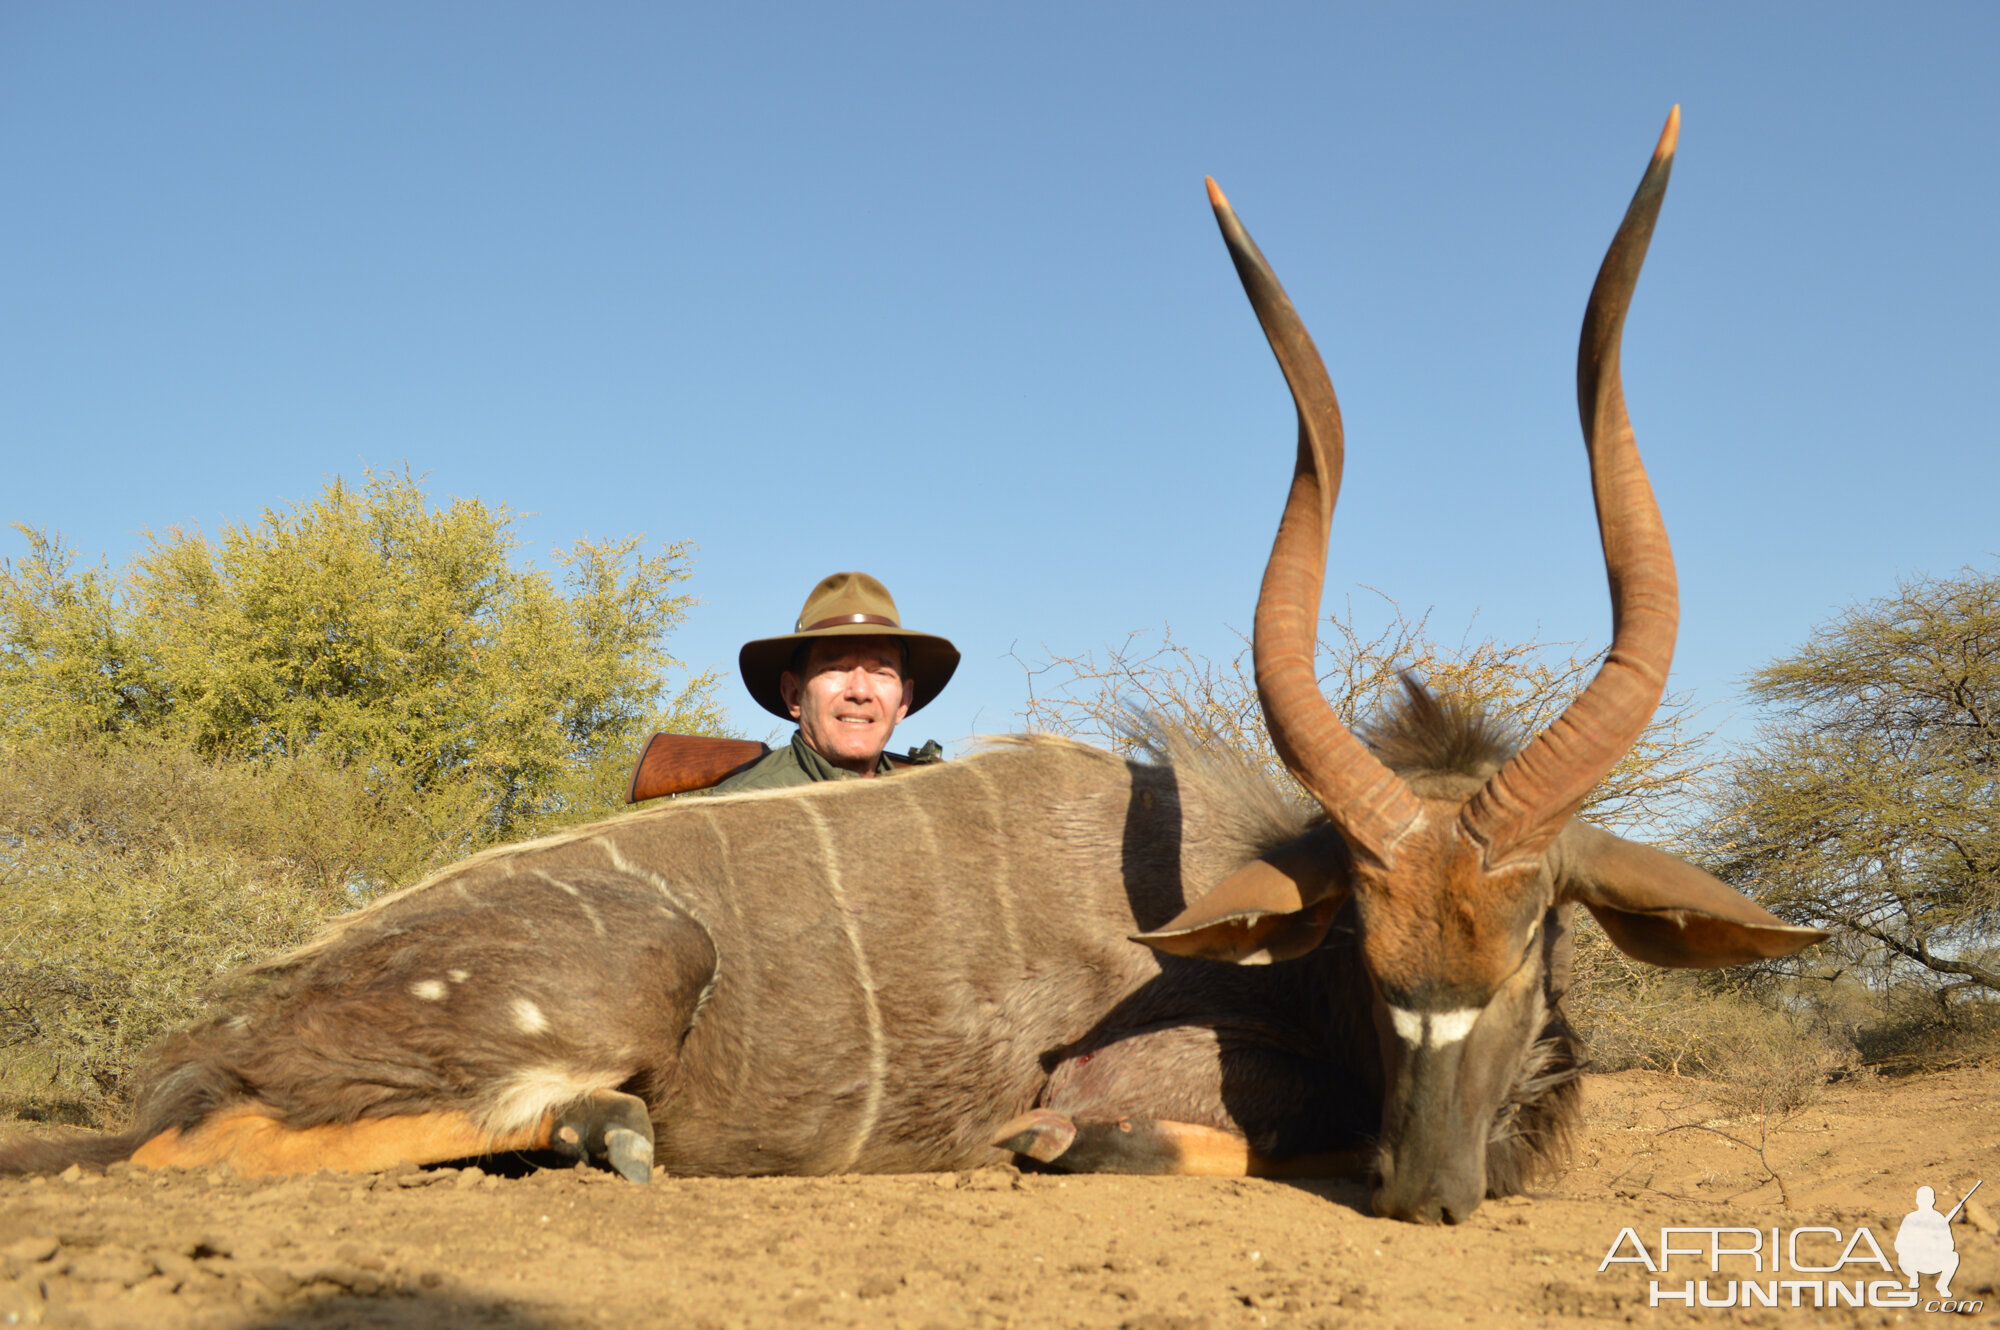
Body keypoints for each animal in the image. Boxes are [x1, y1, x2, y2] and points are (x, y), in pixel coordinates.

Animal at [0, 109, 1824, 1216]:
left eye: (1535, 928)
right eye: (1369, 943)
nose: (1432, 1189)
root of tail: (250, 1000)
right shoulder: (1149, 1086)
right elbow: (1136, 1138)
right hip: (590, 988)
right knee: (190, 1144)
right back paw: (601, 1136)